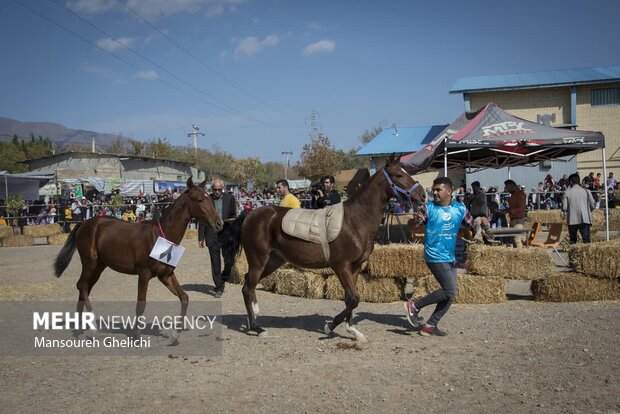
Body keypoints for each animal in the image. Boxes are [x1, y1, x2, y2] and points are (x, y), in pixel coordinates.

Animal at [54, 176, 223, 334]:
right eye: (199, 199)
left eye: (210, 198)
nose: (219, 223)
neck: (161, 236)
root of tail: (84, 223)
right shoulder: (144, 274)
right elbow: (141, 305)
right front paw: (136, 335)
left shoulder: (166, 275)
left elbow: (184, 297)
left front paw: (178, 330)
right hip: (89, 263)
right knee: (82, 286)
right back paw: (92, 324)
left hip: (99, 266)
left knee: (85, 288)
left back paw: (79, 326)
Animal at [226, 154, 426, 342]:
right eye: (398, 174)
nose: (423, 195)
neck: (355, 221)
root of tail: (250, 215)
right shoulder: (341, 266)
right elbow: (354, 298)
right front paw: (330, 327)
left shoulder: (354, 268)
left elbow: (350, 299)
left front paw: (353, 332)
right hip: (258, 259)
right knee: (247, 288)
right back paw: (257, 327)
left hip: (273, 261)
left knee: (248, 283)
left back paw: (254, 316)